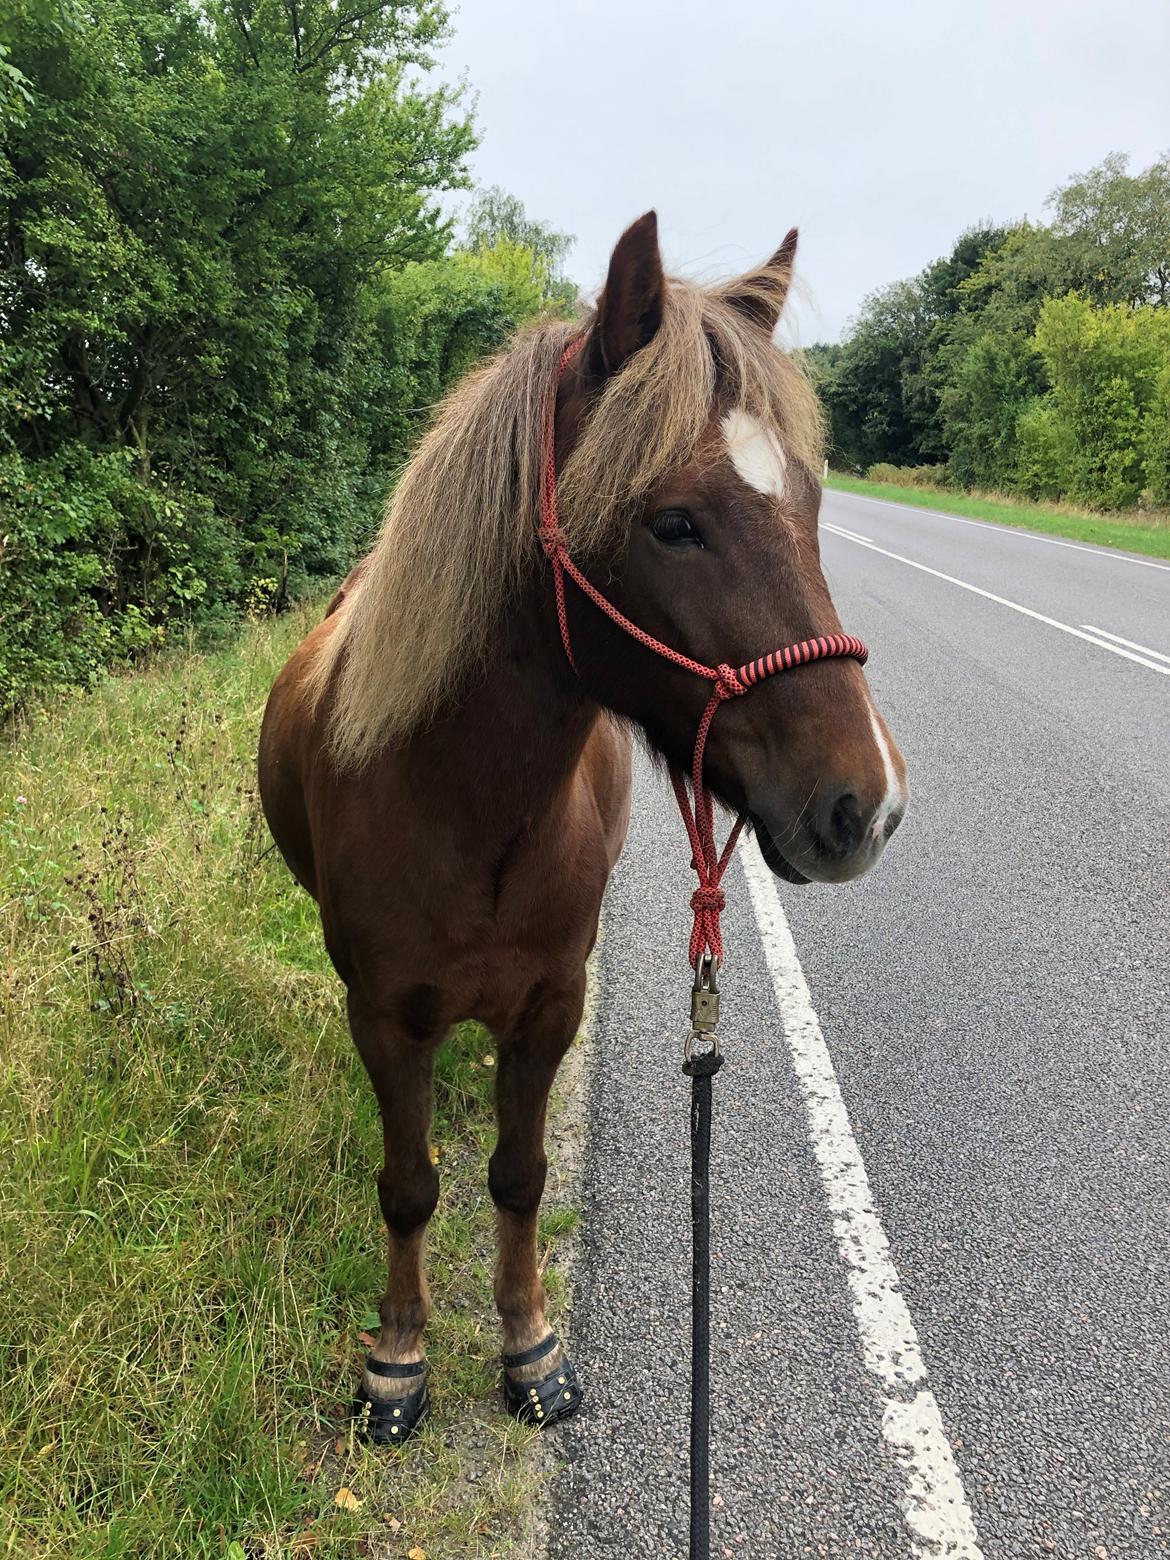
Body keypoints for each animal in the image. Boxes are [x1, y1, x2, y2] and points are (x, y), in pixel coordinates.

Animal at [260, 213, 911, 1441]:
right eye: (675, 523)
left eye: (811, 502)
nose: (870, 804)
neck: (467, 809)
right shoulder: (385, 1013)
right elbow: (408, 1184)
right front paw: (399, 1359)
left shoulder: (553, 1004)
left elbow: (517, 1178)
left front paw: (527, 1346)